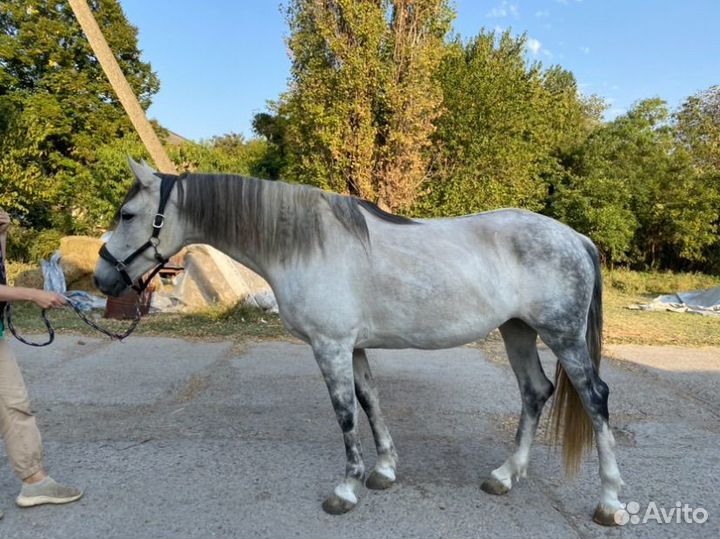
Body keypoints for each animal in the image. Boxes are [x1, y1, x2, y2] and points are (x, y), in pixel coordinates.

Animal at [94, 158, 625, 526]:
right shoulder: (353, 346)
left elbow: (345, 411)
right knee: (535, 391)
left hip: (563, 337)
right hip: (517, 331)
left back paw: (609, 501)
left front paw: (346, 489)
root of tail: (577, 239)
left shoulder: (329, 345)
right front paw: (384, 470)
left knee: (596, 398)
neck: (307, 244)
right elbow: (370, 400)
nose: (103, 278)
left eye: (127, 213)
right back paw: (505, 476)